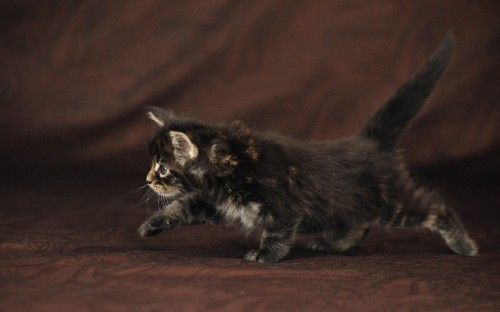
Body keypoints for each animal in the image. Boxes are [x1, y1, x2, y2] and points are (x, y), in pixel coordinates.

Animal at [136, 33, 476, 264]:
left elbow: (279, 232)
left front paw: (265, 255)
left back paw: (464, 244)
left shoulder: (284, 205)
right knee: (359, 223)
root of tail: (370, 142)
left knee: (436, 209)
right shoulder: (213, 202)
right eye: (153, 165)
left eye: (162, 167)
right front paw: (150, 225)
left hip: (392, 202)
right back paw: (333, 243)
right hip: (354, 203)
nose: (148, 180)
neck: (234, 164)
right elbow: (181, 207)